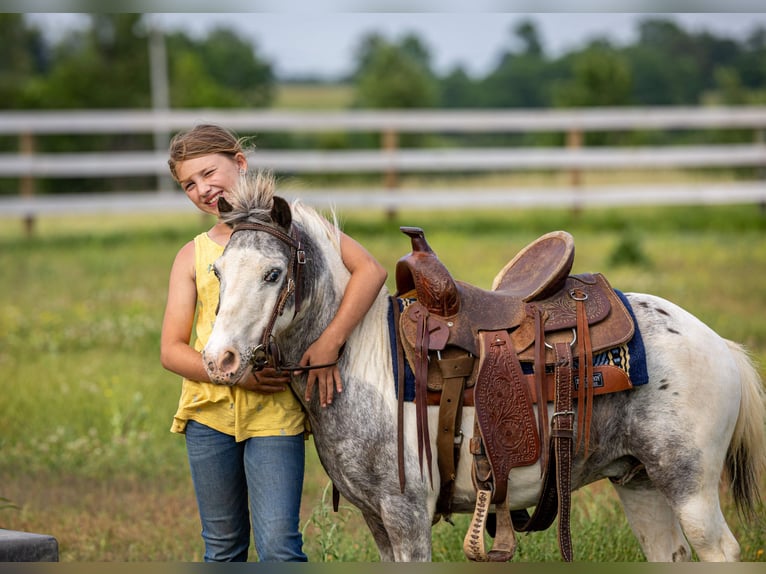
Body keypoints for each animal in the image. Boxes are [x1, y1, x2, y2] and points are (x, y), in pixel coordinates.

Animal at [201, 172, 766, 562]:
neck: (365, 361)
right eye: (218, 270)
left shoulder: (408, 517)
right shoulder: (378, 522)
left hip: (690, 487)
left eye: (274, 274)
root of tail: (719, 344)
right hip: (639, 482)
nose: (218, 358)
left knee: (719, 550)